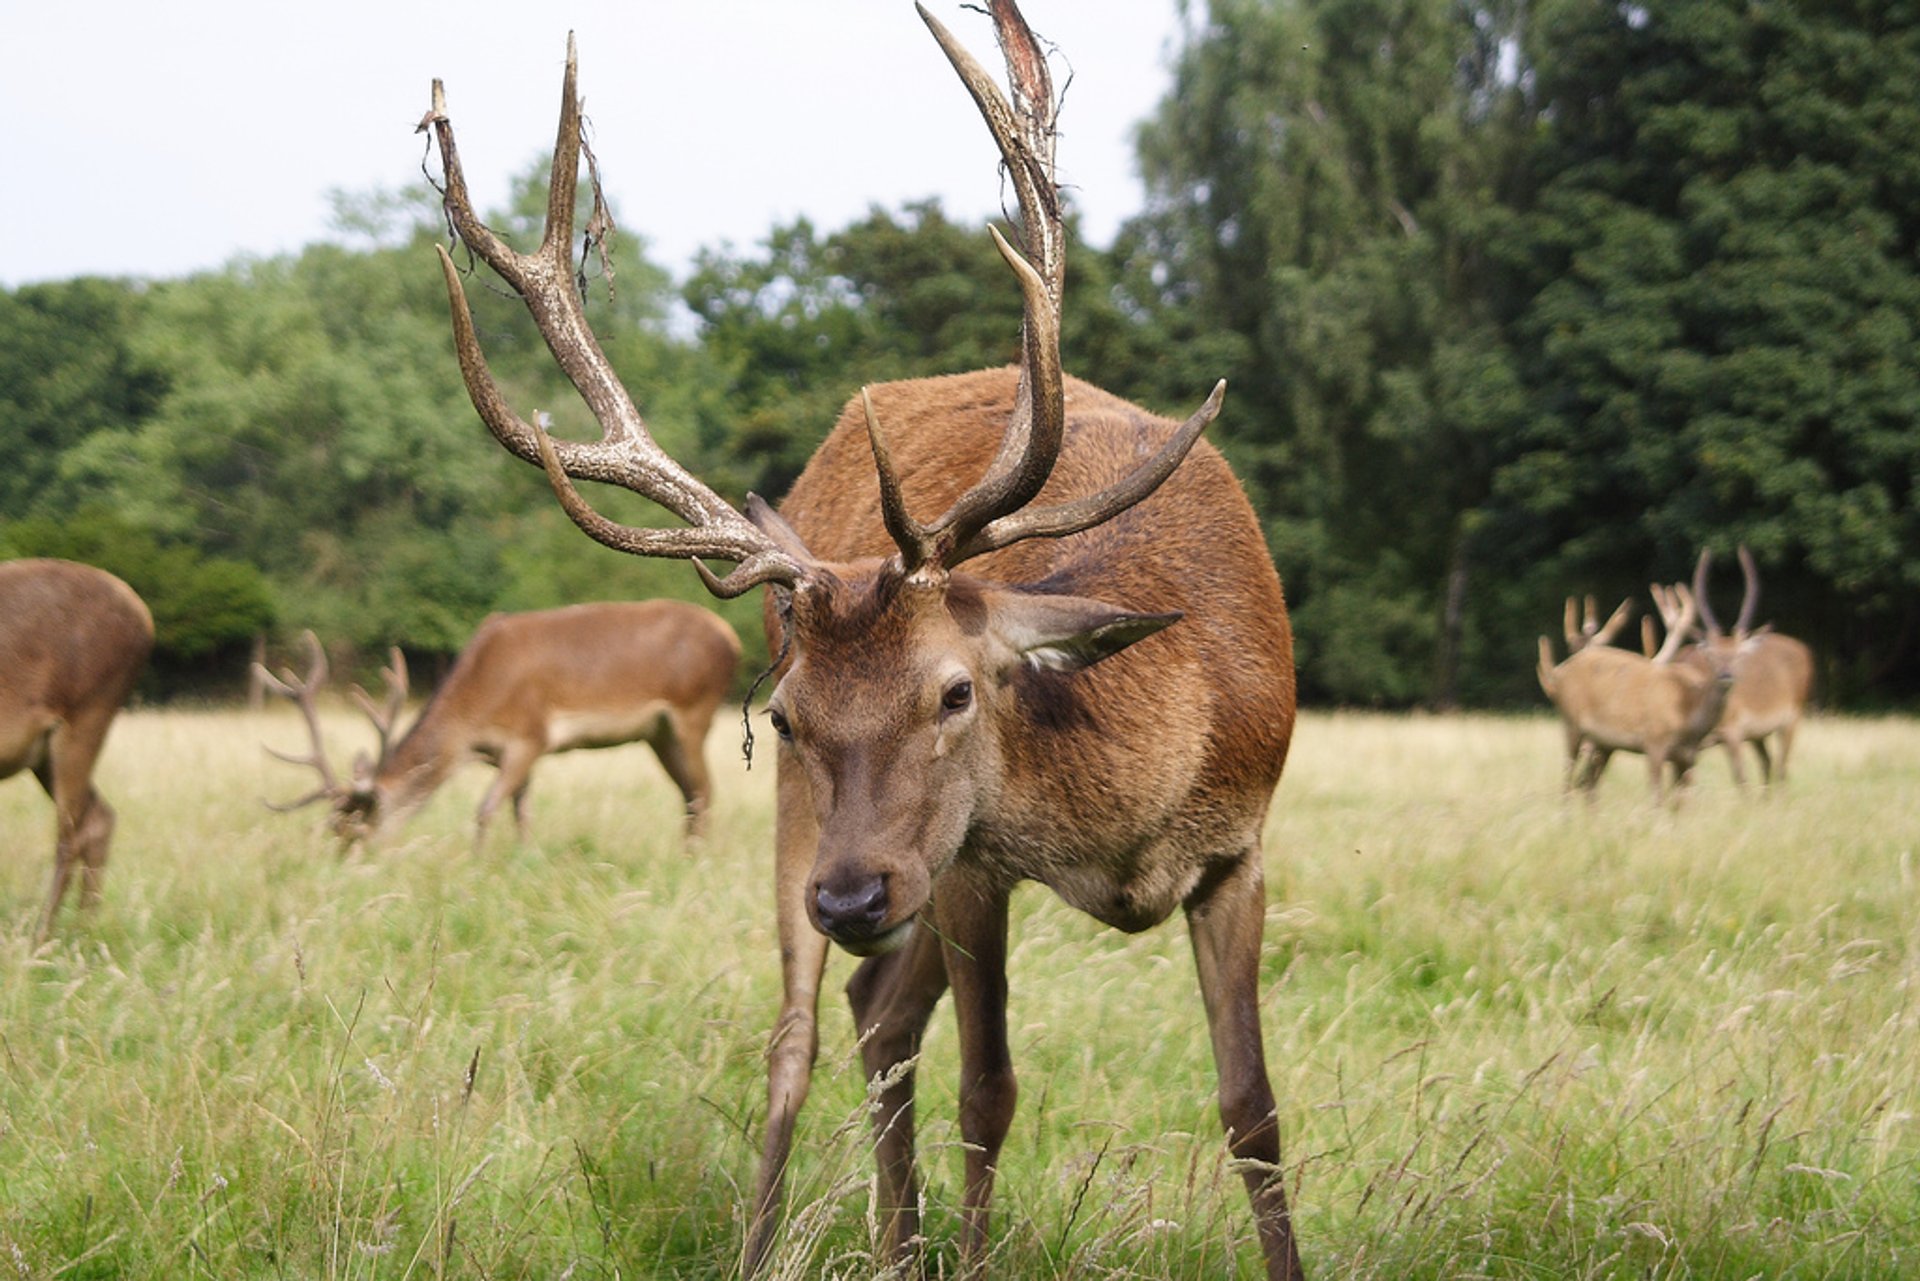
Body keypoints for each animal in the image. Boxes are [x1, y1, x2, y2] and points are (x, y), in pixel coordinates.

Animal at [0, 556, 153, 941]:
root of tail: (144, 617)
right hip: (42, 756)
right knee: (101, 817)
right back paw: (86, 930)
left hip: (84, 716)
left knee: (71, 832)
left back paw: (42, 936)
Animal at [255, 603, 733, 852]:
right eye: (333, 827)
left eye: (355, 830)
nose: (341, 866)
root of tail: (729, 635)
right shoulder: (510, 752)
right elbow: (521, 810)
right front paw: (523, 857)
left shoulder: (531, 735)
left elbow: (485, 809)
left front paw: (478, 864)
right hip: (659, 734)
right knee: (689, 795)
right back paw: (686, 851)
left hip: (694, 712)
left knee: (706, 790)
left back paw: (698, 859)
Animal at [424, 5, 1305, 1275]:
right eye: (786, 715)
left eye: (956, 693)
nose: (843, 903)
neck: (1135, 813)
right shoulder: (977, 865)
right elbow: (989, 1094)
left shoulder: (1238, 849)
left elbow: (1253, 1110)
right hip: (834, 847)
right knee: (809, 1033)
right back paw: (775, 1242)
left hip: (908, 877)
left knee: (877, 1020)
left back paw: (894, 1238)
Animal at [1689, 545, 1804, 787]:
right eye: (1711, 656)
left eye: (1740, 655)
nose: (1726, 675)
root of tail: (1802, 648)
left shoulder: (1733, 730)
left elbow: (1741, 778)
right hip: (1758, 734)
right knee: (1768, 762)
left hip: (1793, 716)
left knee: (1782, 768)